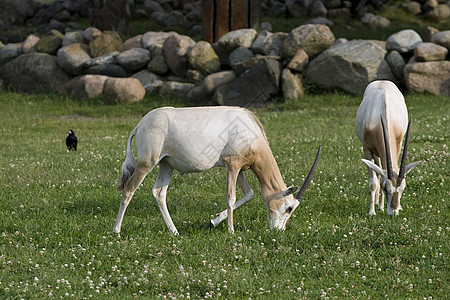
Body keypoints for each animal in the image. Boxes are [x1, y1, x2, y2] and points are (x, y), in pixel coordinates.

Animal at [114, 106, 322, 236]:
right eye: (289, 208)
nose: (279, 231)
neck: (250, 130)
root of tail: (140, 124)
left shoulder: (241, 168)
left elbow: (249, 194)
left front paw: (214, 222)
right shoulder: (233, 164)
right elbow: (231, 197)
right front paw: (231, 230)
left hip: (166, 165)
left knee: (159, 193)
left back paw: (174, 231)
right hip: (146, 164)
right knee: (128, 190)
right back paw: (116, 231)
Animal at [356, 80, 422, 216]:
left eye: (403, 188)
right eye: (386, 188)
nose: (393, 212)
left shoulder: (397, 147)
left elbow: (381, 175)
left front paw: (382, 208)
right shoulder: (367, 149)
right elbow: (373, 182)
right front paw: (371, 212)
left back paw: (380, 205)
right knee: (378, 171)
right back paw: (376, 203)